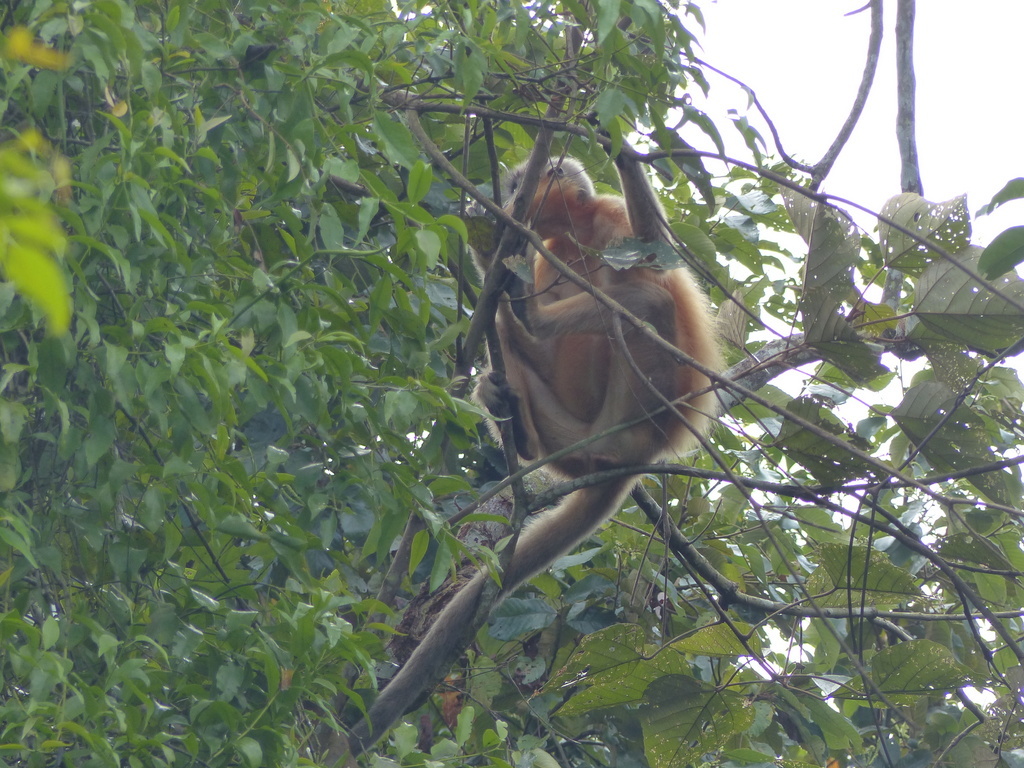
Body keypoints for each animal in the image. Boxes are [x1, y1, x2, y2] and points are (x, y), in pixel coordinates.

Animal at [348, 150, 724, 757]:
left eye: (517, 183)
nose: (505, 197)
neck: (575, 236)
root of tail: (633, 452)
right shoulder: (550, 255)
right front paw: (490, 251)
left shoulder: (611, 218)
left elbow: (652, 244)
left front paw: (621, 147)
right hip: (570, 434)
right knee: (518, 335)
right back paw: (511, 409)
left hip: (649, 393)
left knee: (646, 299)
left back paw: (529, 323)